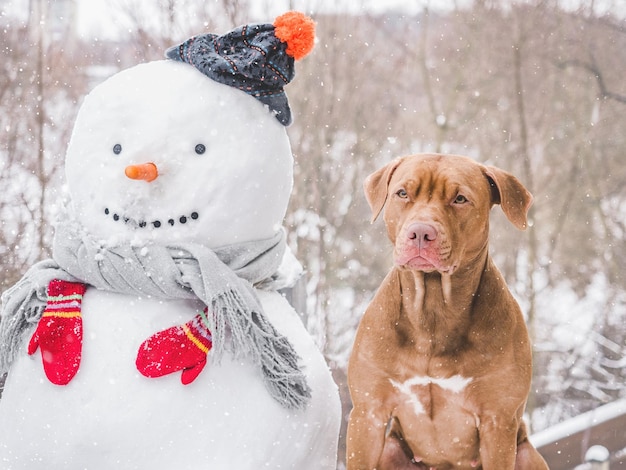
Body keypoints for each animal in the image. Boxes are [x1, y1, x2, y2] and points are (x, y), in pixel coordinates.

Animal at [346, 155, 544, 470]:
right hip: (391, 450)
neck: (433, 310)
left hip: (525, 454)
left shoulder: (498, 422)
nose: (420, 232)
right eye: (402, 193)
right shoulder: (368, 414)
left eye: (460, 198)